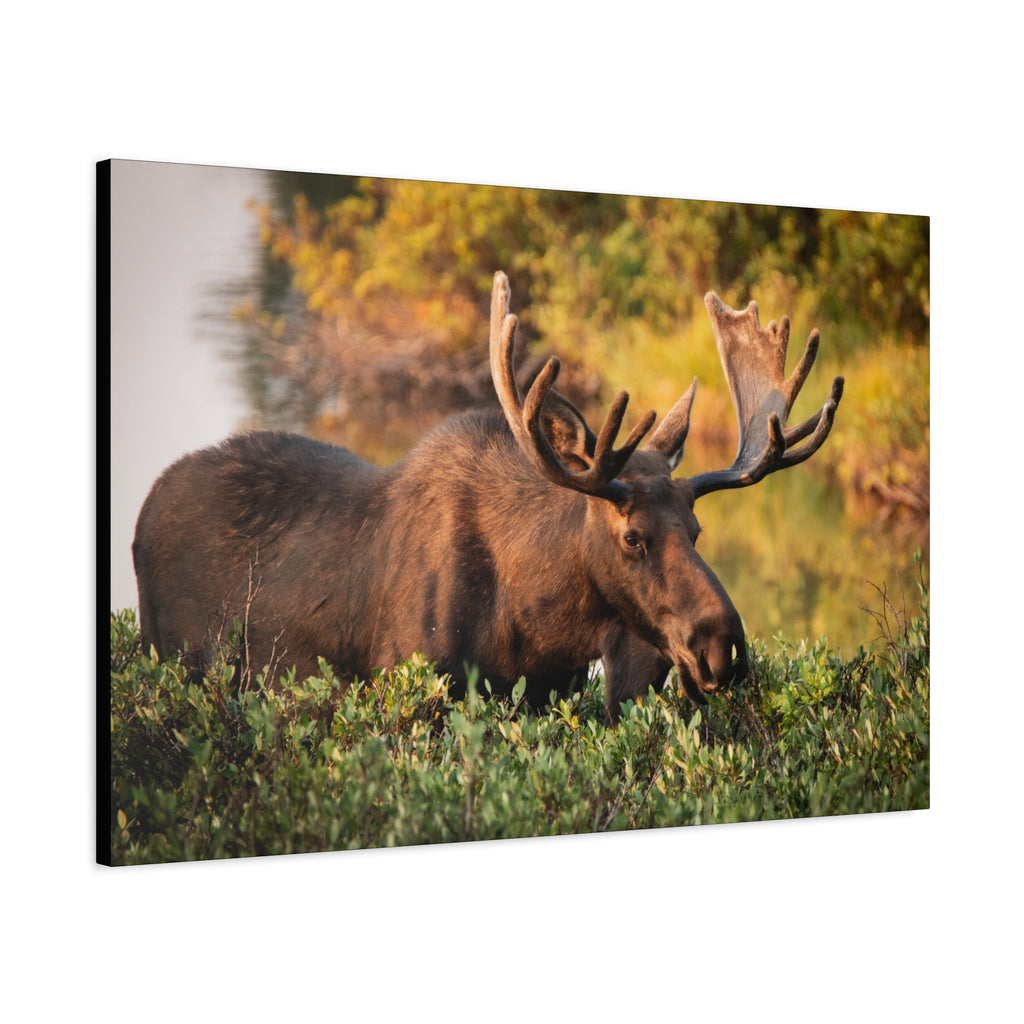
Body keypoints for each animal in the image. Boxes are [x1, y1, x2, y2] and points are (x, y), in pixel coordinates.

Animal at [132, 271, 843, 721]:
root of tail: (143, 515)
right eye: (633, 537)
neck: (539, 625)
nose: (723, 648)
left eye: (696, 532)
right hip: (170, 656)